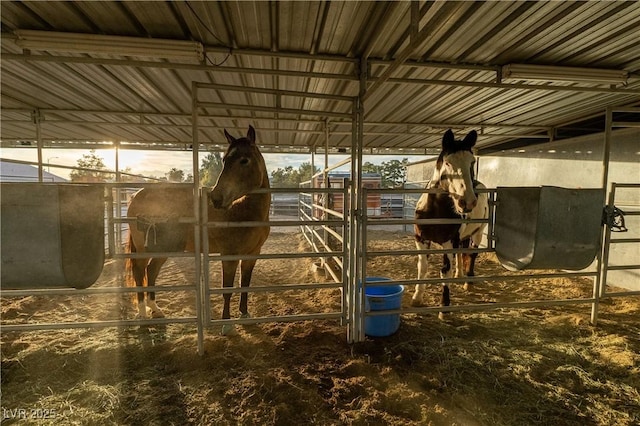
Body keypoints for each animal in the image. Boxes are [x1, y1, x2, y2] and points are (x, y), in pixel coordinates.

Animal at [126, 125, 272, 334]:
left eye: (244, 160)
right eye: (225, 160)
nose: (216, 198)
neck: (242, 209)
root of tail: (136, 195)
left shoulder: (252, 254)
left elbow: (245, 285)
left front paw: (245, 315)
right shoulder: (229, 255)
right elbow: (227, 290)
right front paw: (226, 324)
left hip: (163, 248)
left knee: (151, 270)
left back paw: (155, 309)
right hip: (144, 249)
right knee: (139, 272)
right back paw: (143, 314)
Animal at [412, 131, 488, 318]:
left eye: (472, 162)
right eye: (448, 162)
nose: (467, 202)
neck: (434, 210)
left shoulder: (448, 242)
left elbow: (445, 270)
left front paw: (444, 307)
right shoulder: (421, 239)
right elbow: (422, 267)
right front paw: (417, 298)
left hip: (478, 232)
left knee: (472, 254)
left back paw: (468, 281)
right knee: (461, 252)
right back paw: (459, 274)